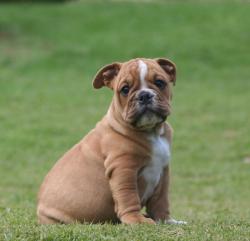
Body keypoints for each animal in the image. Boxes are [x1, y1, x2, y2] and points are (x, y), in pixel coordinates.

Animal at [37, 57, 186, 225]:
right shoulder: (123, 169)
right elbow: (128, 196)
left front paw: (167, 221)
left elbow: (161, 200)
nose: (144, 95)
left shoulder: (163, 171)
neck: (151, 131)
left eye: (160, 83)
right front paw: (136, 220)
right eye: (125, 89)